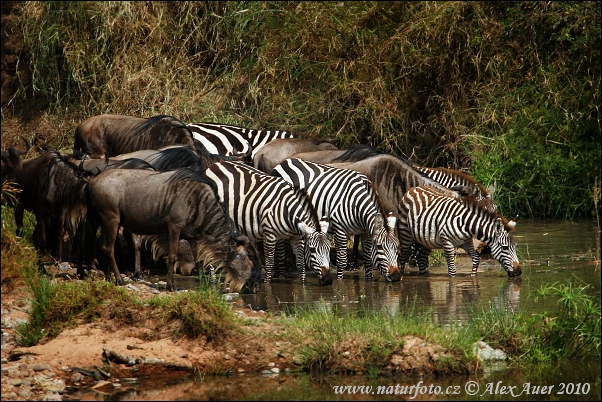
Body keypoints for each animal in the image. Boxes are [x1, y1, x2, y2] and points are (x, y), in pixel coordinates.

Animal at [270, 159, 400, 282]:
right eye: (380, 247)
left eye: (397, 247)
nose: (396, 277)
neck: (356, 204)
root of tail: (283, 162)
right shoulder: (340, 230)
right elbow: (341, 261)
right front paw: (339, 283)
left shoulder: (366, 232)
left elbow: (368, 259)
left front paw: (369, 282)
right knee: (280, 248)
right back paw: (281, 275)